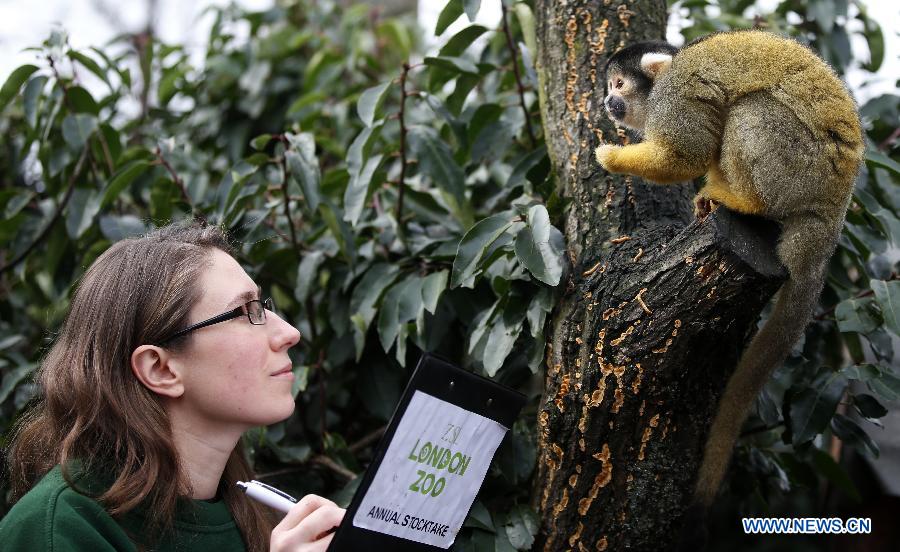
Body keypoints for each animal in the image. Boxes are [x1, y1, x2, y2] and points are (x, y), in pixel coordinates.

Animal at [596, 31, 864, 508]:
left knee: (751, 110)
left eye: (619, 85)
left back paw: (744, 200)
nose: (608, 102)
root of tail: (829, 221)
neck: (671, 68)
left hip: (797, 170)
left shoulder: (677, 95)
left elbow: (685, 155)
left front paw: (612, 157)